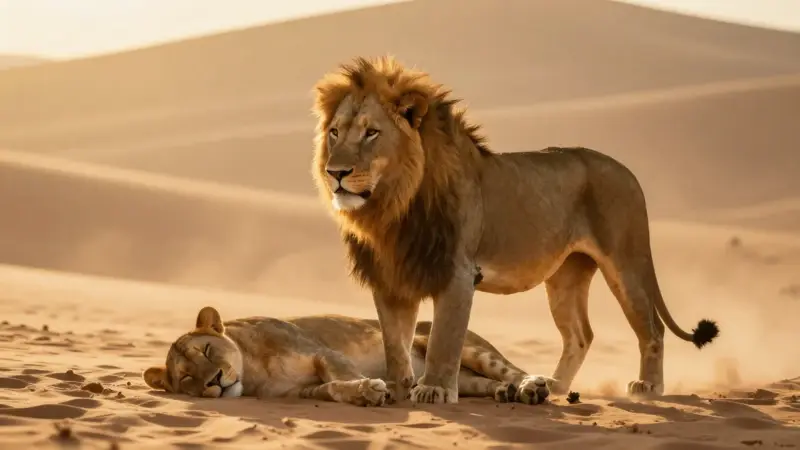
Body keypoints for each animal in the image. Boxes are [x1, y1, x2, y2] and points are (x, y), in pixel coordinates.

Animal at [310, 56, 719, 404]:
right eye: (335, 133)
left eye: (371, 133)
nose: (335, 173)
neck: (392, 208)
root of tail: (628, 171)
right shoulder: (392, 276)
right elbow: (395, 343)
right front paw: (396, 387)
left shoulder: (458, 273)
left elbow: (444, 339)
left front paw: (434, 390)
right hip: (567, 275)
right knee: (580, 334)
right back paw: (555, 386)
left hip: (626, 262)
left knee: (652, 327)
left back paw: (648, 386)